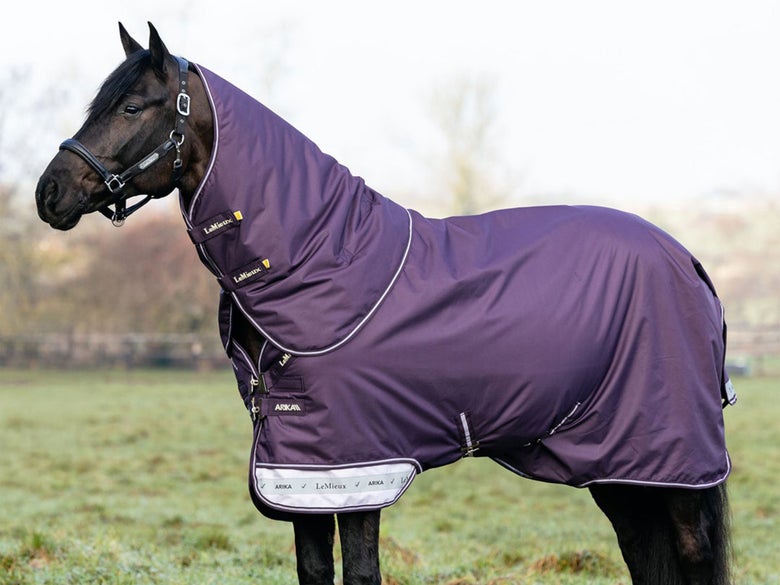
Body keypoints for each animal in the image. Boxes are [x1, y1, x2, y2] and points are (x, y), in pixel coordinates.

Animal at [36, 22, 735, 585]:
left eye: (131, 106)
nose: (50, 193)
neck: (320, 258)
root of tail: (690, 262)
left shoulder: (358, 464)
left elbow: (363, 571)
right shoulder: (301, 473)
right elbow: (315, 570)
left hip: (671, 459)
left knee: (692, 555)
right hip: (624, 467)